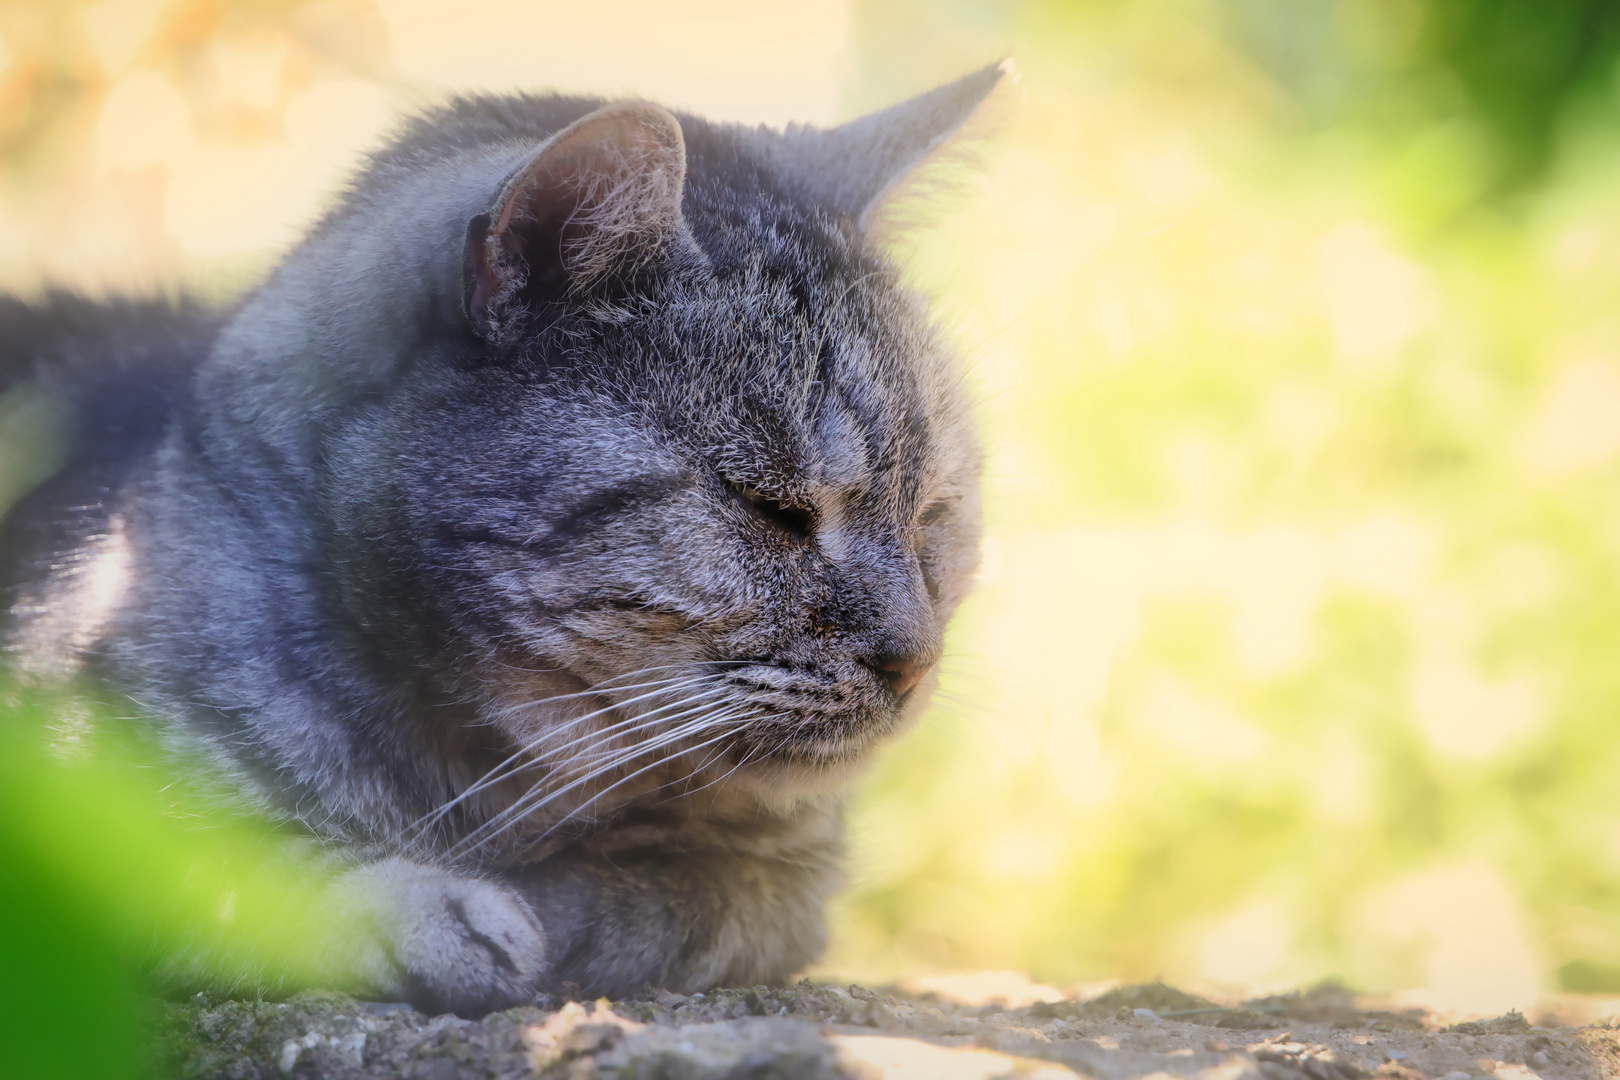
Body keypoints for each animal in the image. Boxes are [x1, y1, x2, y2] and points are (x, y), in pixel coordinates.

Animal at [0, 61, 997, 1023]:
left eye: (931, 515)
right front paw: (433, 911)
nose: (914, 660)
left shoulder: (788, 878)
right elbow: (215, 875)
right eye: (772, 507)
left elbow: (706, 901)